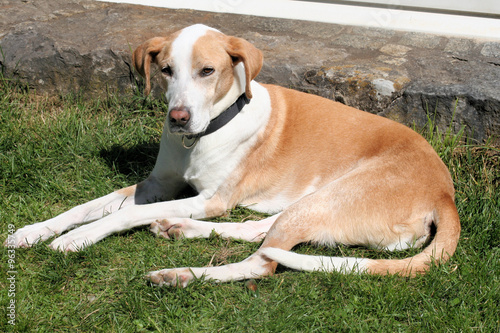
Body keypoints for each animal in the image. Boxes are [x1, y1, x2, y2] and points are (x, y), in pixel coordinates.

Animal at [7, 24, 460, 286]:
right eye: (166, 70)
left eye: (208, 71)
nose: (178, 118)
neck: (200, 137)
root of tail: (446, 195)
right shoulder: (156, 185)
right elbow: (87, 206)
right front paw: (34, 231)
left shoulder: (213, 200)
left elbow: (120, 216)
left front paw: (77, 239)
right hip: (313, 203)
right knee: (259, 233)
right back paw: (178, 229)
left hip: (333, 195)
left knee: (262, 263)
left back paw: (178, 274)